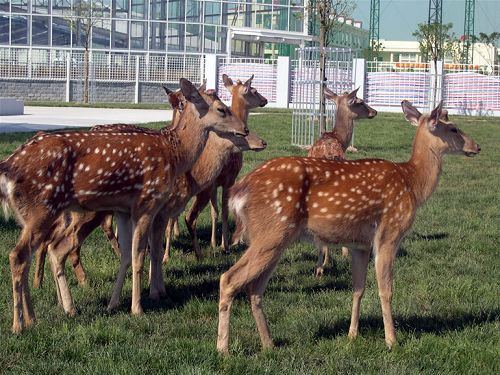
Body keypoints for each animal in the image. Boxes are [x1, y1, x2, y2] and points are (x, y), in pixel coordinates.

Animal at [0, 78, 249, 334]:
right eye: (221, 108)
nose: (245, 129)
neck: (175, 154)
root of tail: (8, 167)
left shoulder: (124, 210)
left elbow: (127, 254)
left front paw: (114, 304)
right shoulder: (147, 202)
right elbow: (140, 254)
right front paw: (138, 308)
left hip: (30, 215)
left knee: (35, 253)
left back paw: (36, 317)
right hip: (43, 208)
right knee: (20, 254)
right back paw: (20, 324)